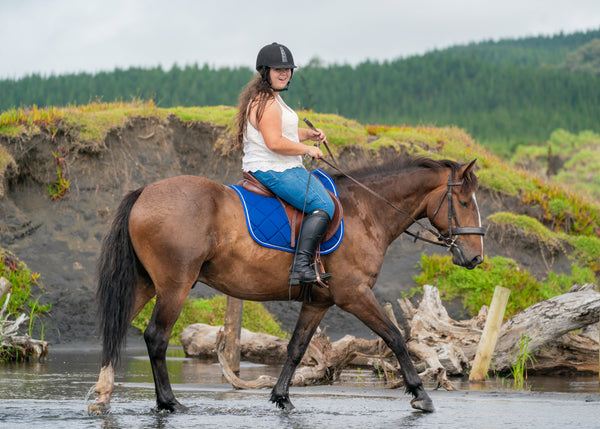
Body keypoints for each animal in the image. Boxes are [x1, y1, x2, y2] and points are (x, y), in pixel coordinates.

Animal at [88, 156, 482, 414]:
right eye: (463, 201)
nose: (476, 257)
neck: (365, 211)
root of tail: (145, 192)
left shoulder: (318, 302)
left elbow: (296, 348)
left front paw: (281, 397)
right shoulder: (354, 294)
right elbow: (396, 337)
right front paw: (420, 394)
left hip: (146, 284)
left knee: (118, 328)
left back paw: (105, 393)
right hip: (175, 285)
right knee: (156, 337)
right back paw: (168, 402)